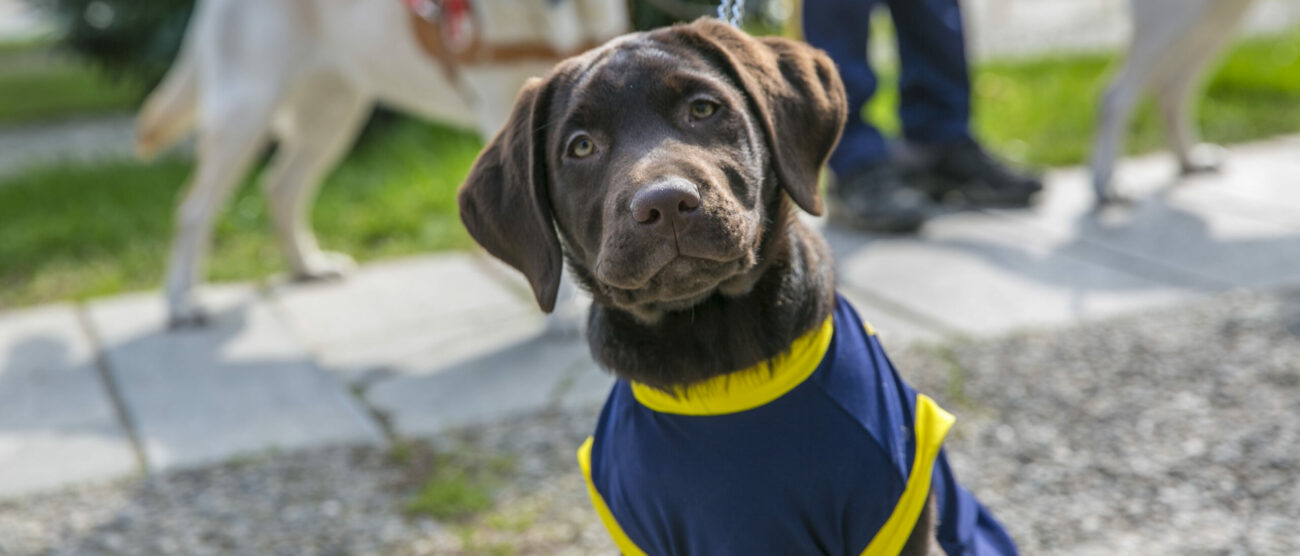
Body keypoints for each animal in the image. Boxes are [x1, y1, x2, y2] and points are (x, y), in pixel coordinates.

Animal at [139, 0, 626, 326]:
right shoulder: (506, 109)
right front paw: (565, 312)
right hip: (246, 109)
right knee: (194, 208)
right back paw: (181, 303)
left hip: (334, 110)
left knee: (280, 186)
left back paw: (306, 267)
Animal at [1092, 0, 1253, 203]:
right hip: (1176, 15)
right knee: (1115, 96)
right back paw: (1107, 182)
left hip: (1222, 14)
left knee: (1173, 92)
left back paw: (1189, 160)